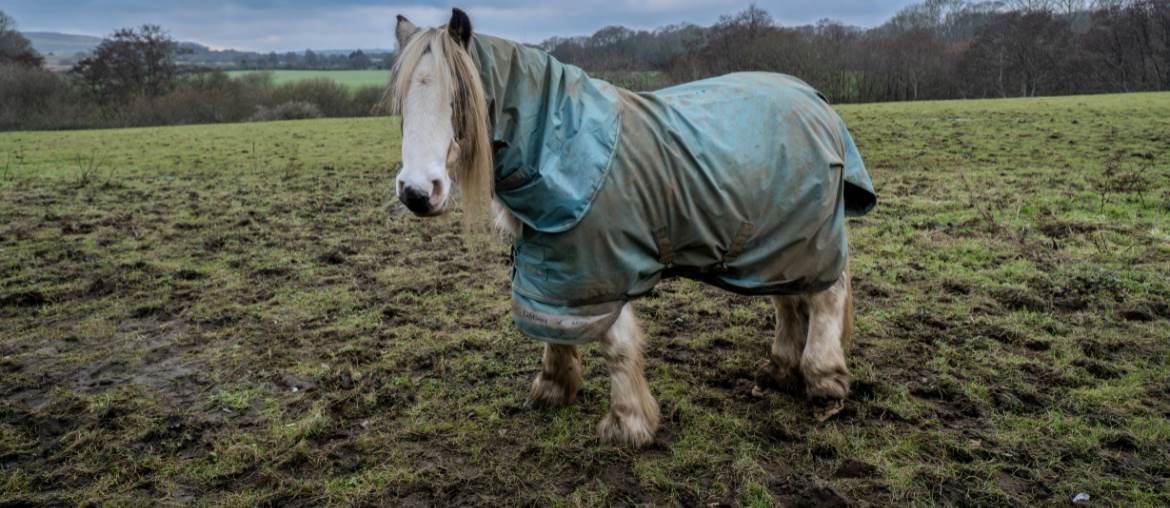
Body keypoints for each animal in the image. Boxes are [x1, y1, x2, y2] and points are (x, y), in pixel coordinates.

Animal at [389, 8, 876, 447]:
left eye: (458, 98)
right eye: (402, 105)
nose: (416, 191)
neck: (561, 146)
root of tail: (815, 99)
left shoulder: (602, 267)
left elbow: (617, 344)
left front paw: (628, 423)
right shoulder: (553, 264)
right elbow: (552, 324)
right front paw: (553, 387)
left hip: (810, 236)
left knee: (827, 295)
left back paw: (823, 378)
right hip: (778, 241)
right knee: (789, 299)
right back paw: (779, 369)